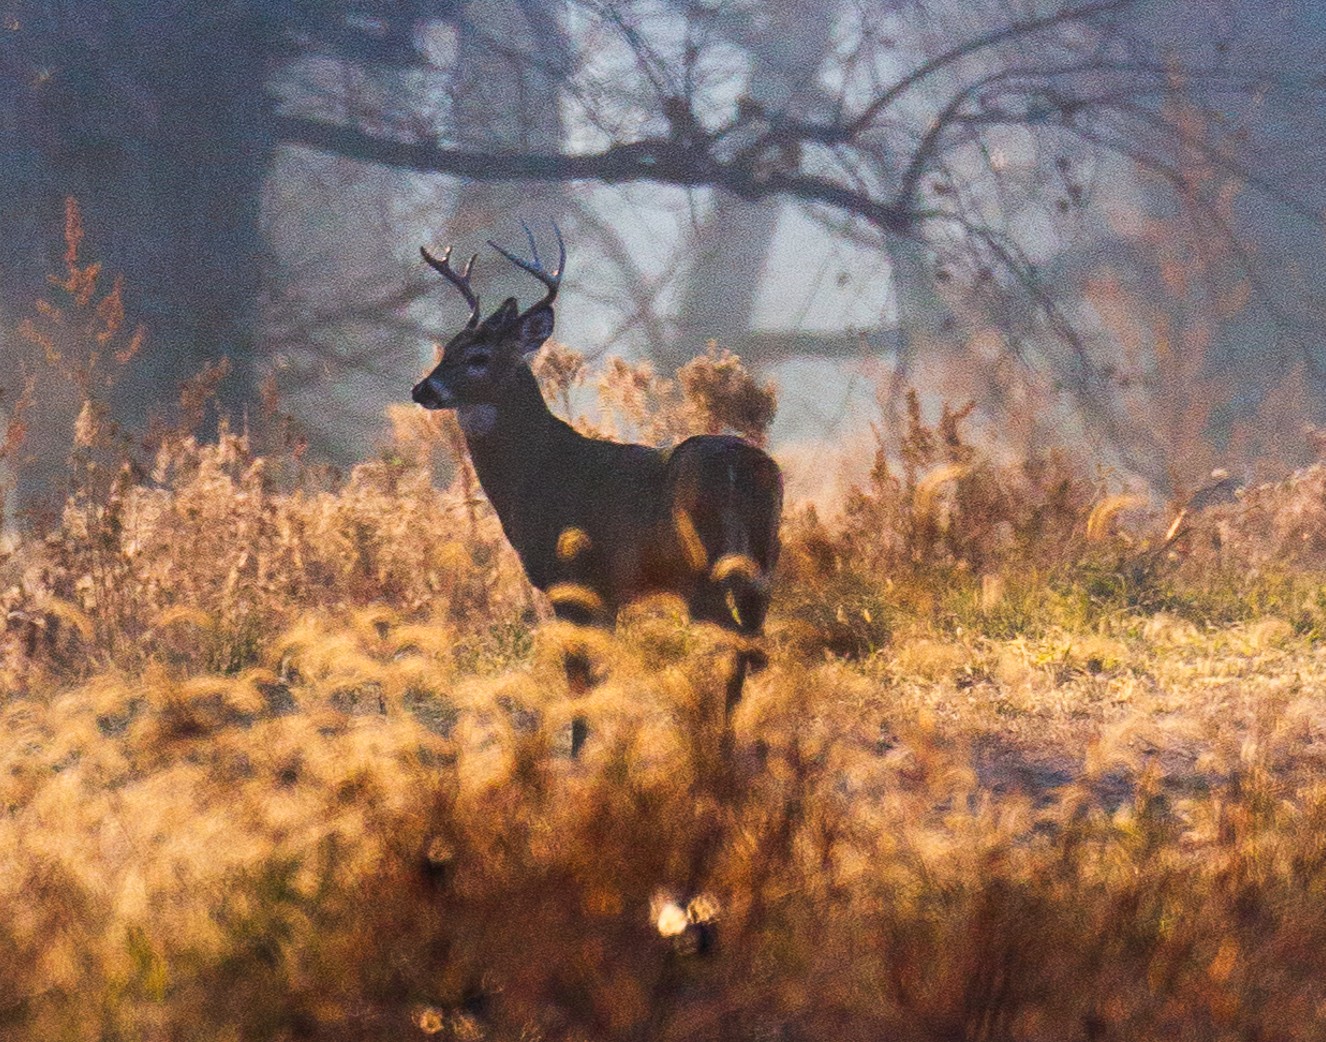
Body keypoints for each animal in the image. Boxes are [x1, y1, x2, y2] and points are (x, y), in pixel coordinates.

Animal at [411, 224, 782, 756]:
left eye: (478, 357)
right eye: (447, 347)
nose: (423, 389)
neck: (536, 473)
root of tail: (745, 466)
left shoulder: (572, 579)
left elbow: (579, 679)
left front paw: (578, 756)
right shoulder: (610, 596)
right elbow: (600, 676)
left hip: (702, 573)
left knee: (744, 646)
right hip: (763, 563)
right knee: (757, 645)